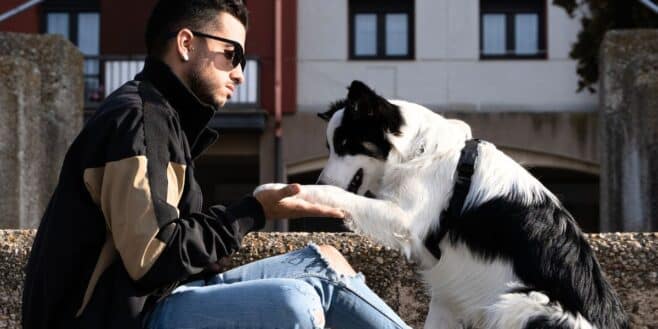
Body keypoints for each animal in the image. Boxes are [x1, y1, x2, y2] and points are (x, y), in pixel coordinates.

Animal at [254, 80, 628, 328]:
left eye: (346, 144)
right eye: (329, 146)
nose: (320, 180)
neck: (416, 150)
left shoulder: (404, 218)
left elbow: (341, 196)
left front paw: (283, 190)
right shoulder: (447, 290)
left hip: (522, 305)